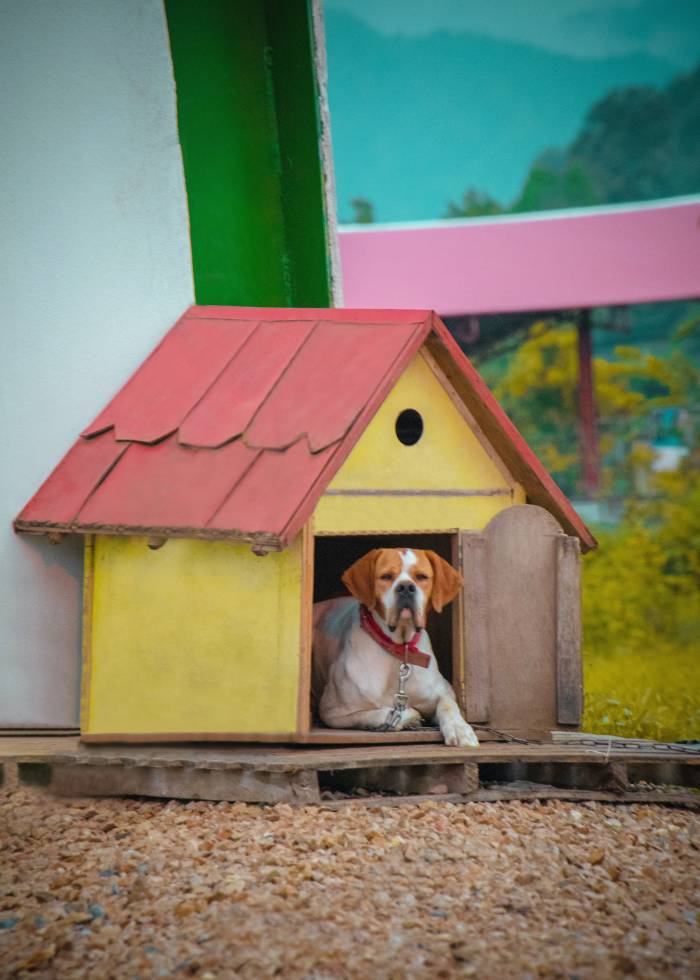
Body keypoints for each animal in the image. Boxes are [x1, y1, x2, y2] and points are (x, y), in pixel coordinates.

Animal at [314, 548, 478, 748]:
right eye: (386, 576)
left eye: (421, 576)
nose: (406, 587)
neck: (399, 648)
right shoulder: (333, 712)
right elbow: (380, 713)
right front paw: (406, 717)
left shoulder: (444, 691)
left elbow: (448, 705)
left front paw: (459, 728)